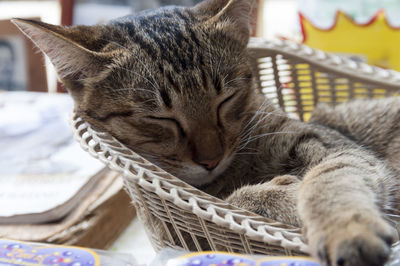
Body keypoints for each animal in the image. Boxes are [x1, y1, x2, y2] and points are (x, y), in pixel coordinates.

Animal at [10, 1, 400, 264]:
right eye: (159, 118)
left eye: (225, 99)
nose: (211, 159)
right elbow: (234, 201)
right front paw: (279, 193)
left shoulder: (332, 145)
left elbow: (329, 177)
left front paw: (344, 227)